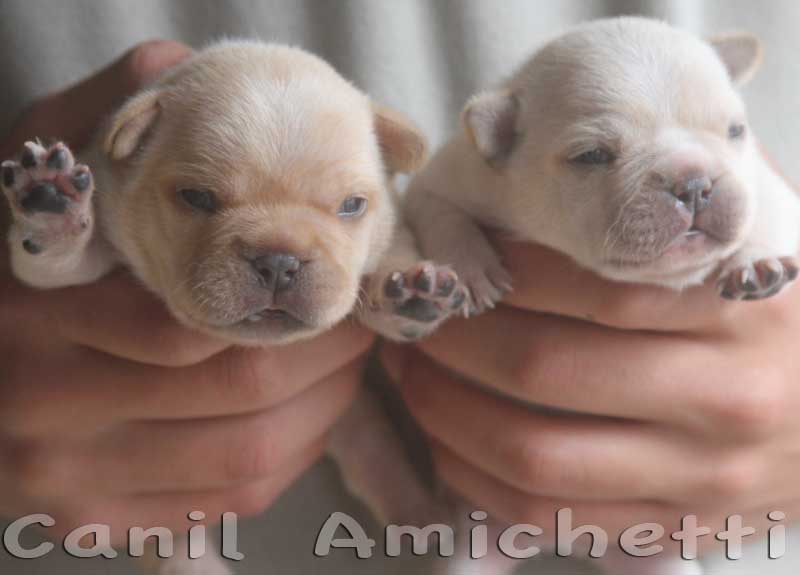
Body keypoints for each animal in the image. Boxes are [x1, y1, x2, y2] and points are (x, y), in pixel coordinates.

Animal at [0, 39, 462, 572]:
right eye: (197, 198)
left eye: (351, 206)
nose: (279, 261)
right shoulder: (97, 234)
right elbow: (62, 261)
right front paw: (51, 209)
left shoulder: (389, 228)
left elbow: (393, 256)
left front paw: (412, 295)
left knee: (375, 453)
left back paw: (424, 518)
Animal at [410, 15, 796, 575]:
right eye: (592, 156)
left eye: (735, 131)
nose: (694, 183)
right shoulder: (444, 181)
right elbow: (441, 215)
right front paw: (469, 269)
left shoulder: (764, 187)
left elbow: (765, 212)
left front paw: (757, 262)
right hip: (471, 547)